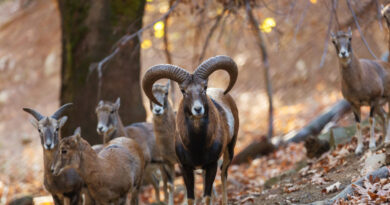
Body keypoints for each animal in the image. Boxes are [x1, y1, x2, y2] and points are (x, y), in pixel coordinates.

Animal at [142, 55, 239, 204]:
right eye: (183, 91)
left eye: (204, 87)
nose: (198, 109)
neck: (197, 145)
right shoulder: (185, 167)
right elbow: (190, 198)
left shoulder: (211, 165)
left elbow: (207, 196)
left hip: (229, 150)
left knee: (223, 174)